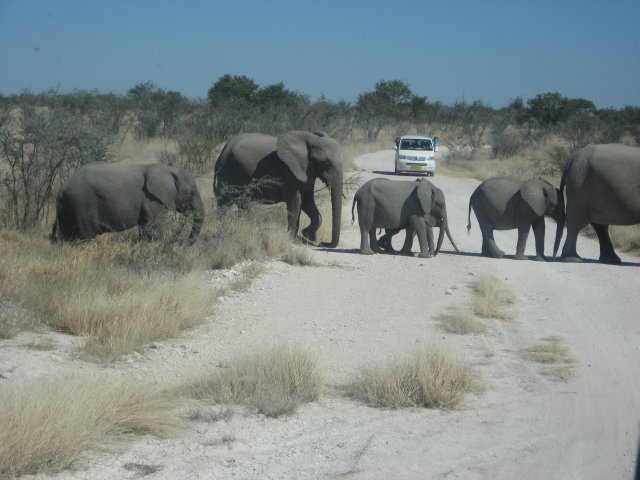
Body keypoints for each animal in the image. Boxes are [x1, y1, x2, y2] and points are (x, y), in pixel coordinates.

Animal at [51, 162, 204, 244]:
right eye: (192, 193)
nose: (183, 243)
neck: (171, 170)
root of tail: (61, 189)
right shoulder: (152, 200)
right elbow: (155, 227)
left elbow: (145, 229)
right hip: (81, 203)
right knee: (86, 236)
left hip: (68, 206)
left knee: (67, 236)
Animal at [214, 130, 344, 248]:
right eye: (326, 163)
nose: (323, 243)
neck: (311, 139)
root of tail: (225, 147)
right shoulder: (289, 172)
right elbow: (296, 202)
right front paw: (292, 239)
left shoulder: (307, 173)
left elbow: (308, 202)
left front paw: (307, 235)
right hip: (226, 171)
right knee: (224, 204)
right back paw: (221, 227)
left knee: (243, 204)